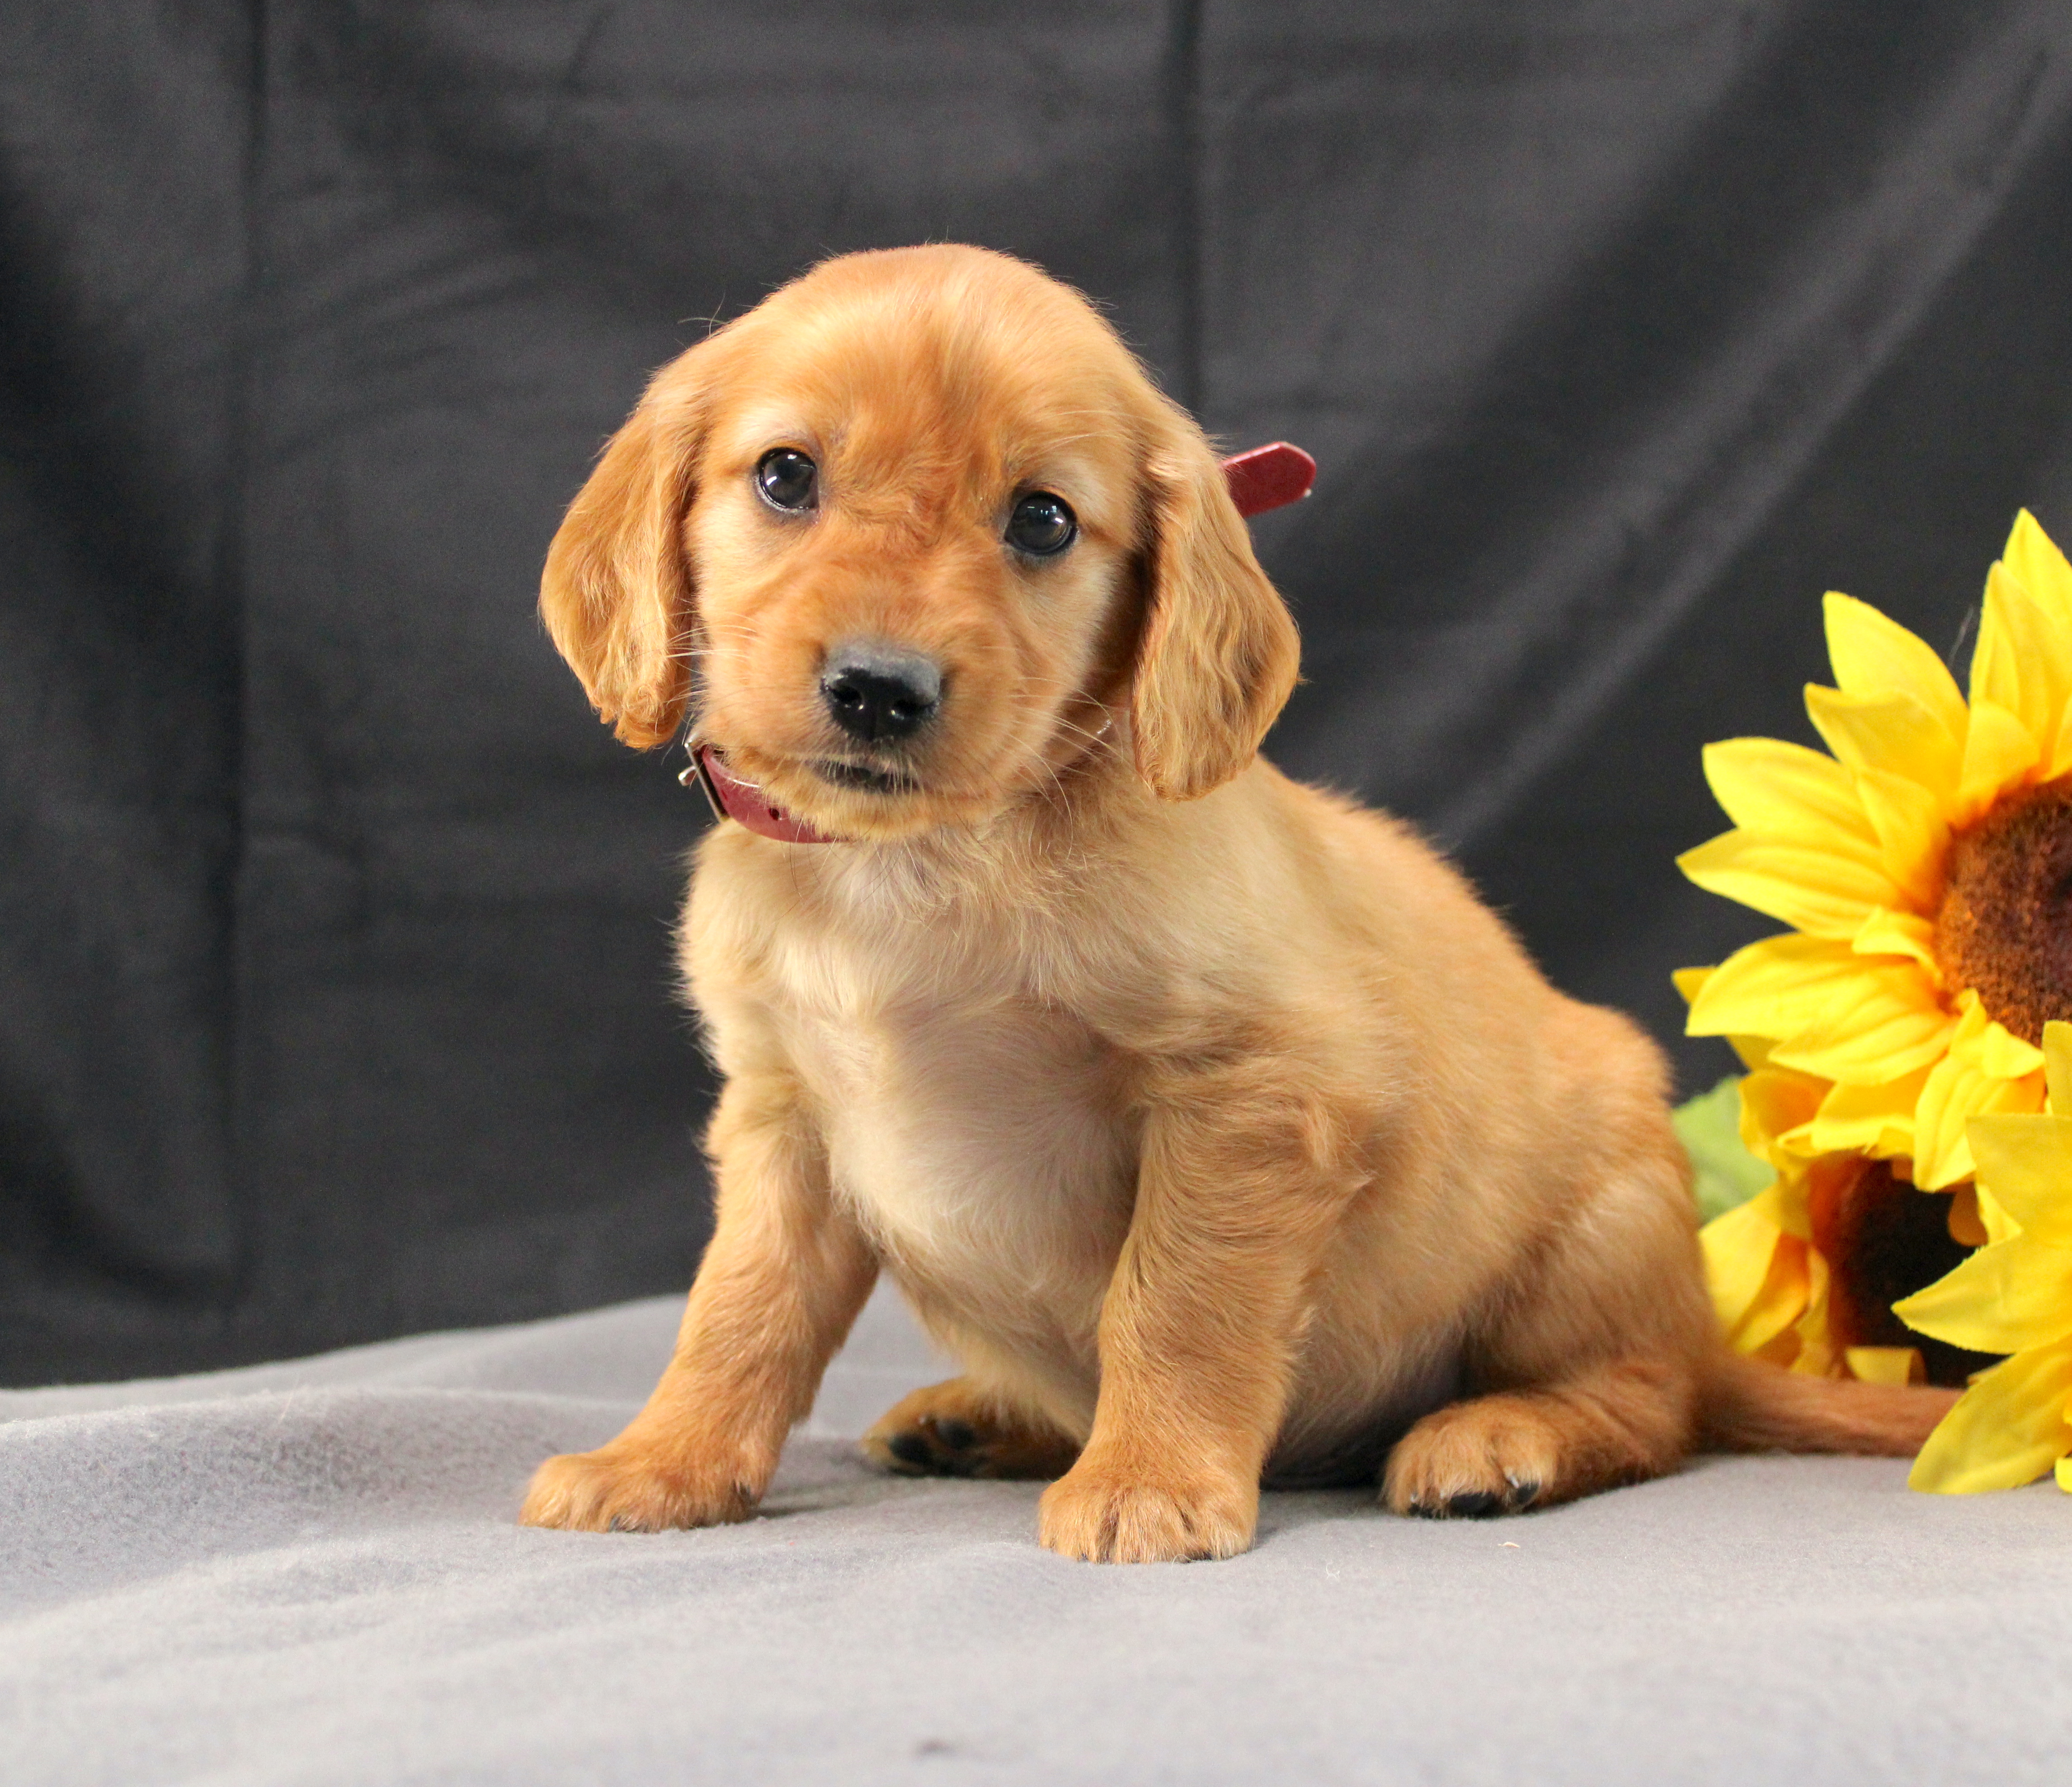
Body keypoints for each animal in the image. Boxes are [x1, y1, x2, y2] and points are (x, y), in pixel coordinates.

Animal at [522, 245, 1956, 1559]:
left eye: (1043, 520)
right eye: (784, 477)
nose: (881, 688)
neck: (921, 865)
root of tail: (1705, 1330)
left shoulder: (1253, 1093)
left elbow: (1174, 1303)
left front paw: (1148, 1481)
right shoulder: (783, 1120)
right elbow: (738, 1310)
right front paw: (663, 1460)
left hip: (1590, 1236)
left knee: (1648, 1403)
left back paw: (1498, 1437)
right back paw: (981, 1413)